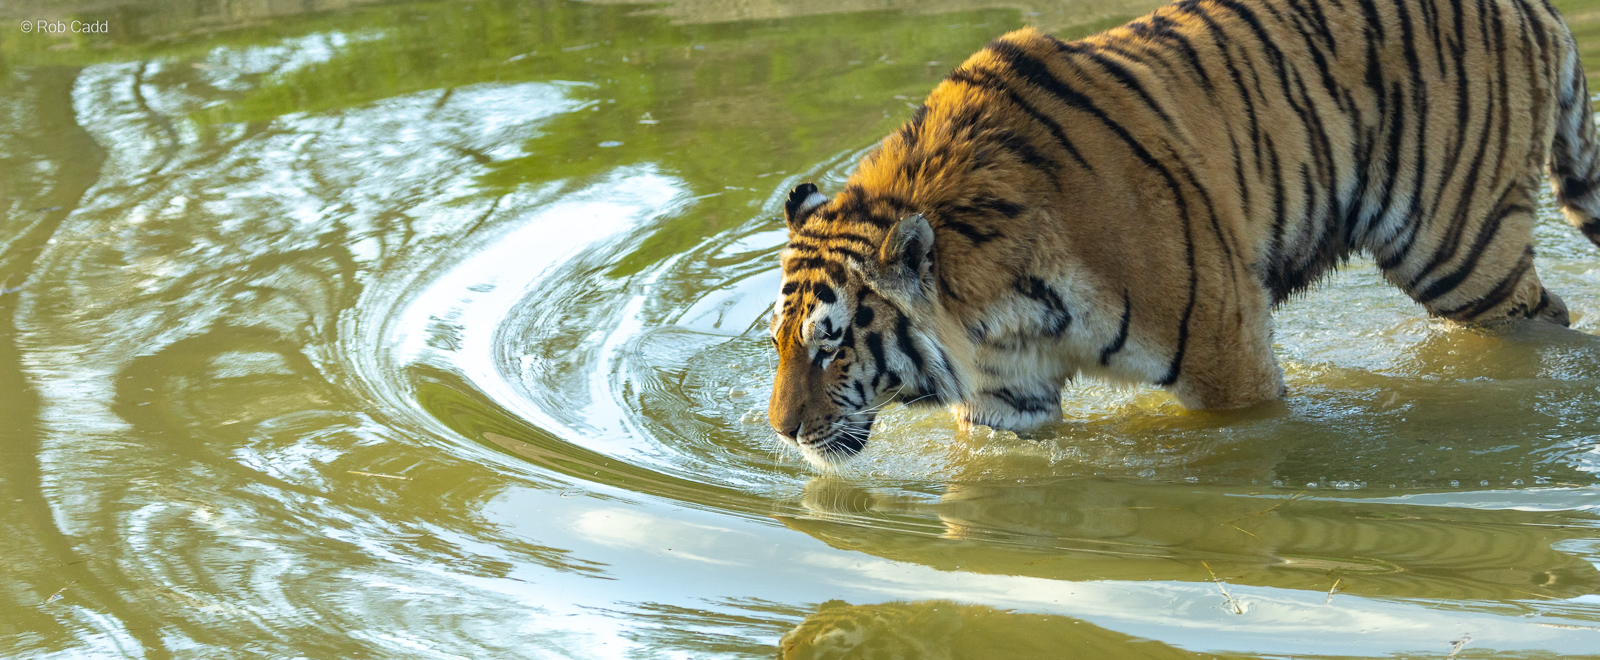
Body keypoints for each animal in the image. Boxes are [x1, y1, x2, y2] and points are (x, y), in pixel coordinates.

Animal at [767, 0, 1600, 467]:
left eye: (832, 345)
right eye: (778, 344)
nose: (782, 433)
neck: (992, 303)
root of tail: (1530, 2)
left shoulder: (1227, 347)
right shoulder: (1008, 400)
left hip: (1458, 250)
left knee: (1549, 320)